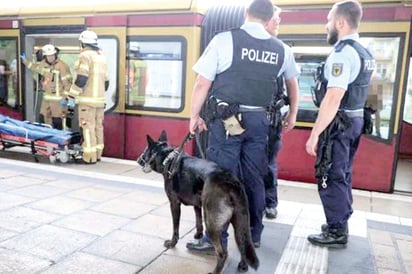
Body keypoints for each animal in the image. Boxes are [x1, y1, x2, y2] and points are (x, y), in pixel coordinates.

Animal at [137, 131, 260, 274]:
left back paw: (215, 271)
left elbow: (175, 228)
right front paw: (198, 235)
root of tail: (231, 183)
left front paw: (172, 243)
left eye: (145, 150)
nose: (138, 159)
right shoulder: (197, 204)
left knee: (222, 253)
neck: (167, 157)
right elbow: (198, 221)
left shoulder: (174, 204)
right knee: (242, 244)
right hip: (240, 222)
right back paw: (243, 265)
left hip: (212, 223)